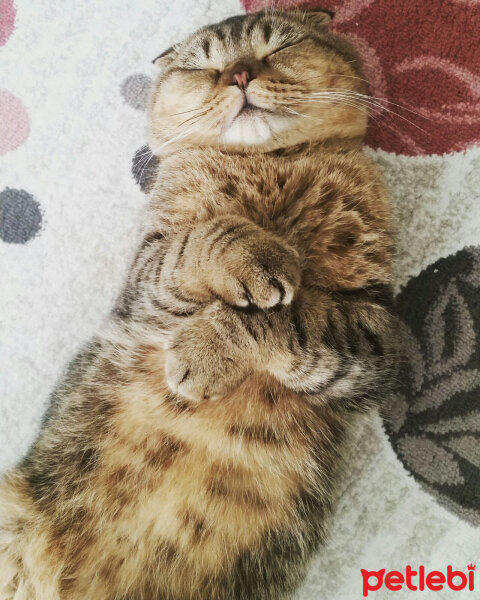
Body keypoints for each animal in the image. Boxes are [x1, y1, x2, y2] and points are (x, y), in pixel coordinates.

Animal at [1, 5, 396, 600]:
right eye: (203, 67)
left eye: (278, 46)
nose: (238, 74)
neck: (268, 165)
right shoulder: (143, 284)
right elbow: (205, 238)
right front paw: (253, 254)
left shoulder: (373, 338)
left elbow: (288, 320)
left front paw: (204, 351)